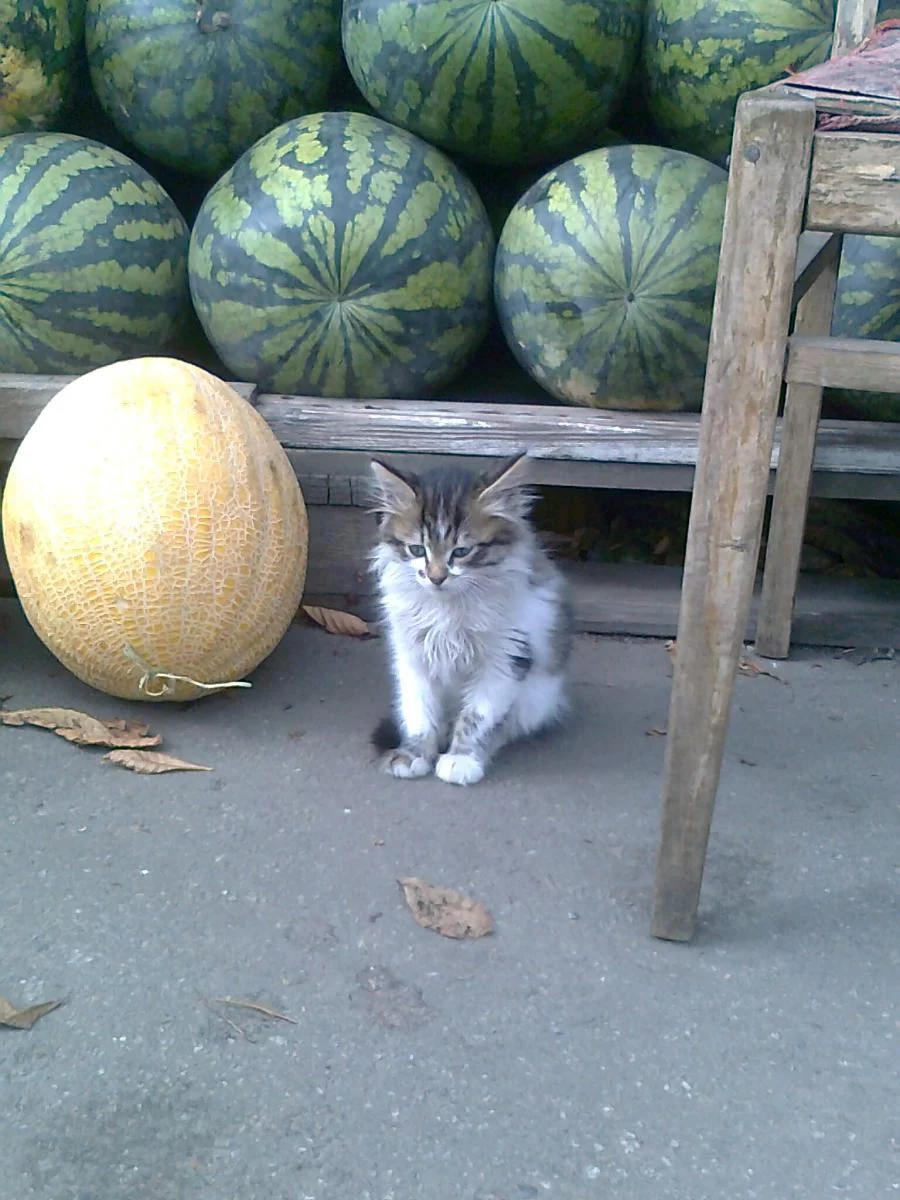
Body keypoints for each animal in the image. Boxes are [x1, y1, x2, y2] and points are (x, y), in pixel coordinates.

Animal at [367, 452, 573, 786]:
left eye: (461, 551)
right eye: (417, 549)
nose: (437, 577)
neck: (446, 609)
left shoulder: (506, 658)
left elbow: (476, 717)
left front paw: (462, 758)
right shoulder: (411, 656)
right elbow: (418, 710)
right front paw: (414, 753)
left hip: (537, 695)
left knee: (508, 725)